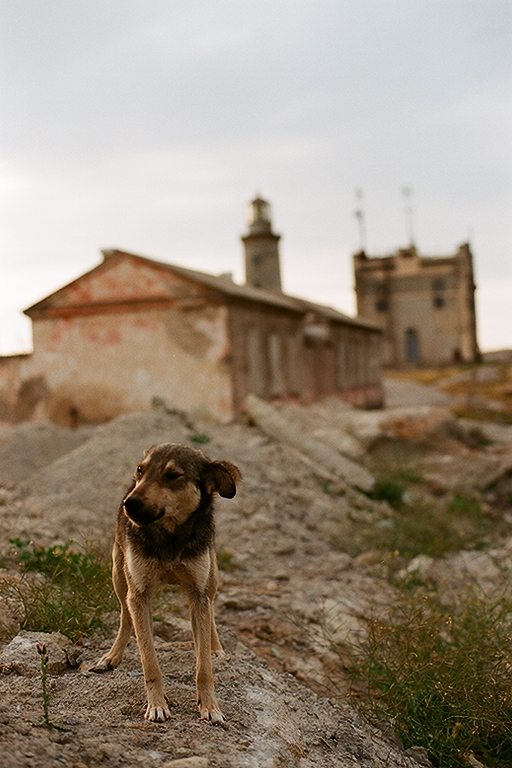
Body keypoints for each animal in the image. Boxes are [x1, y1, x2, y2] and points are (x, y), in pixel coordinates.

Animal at [91, 440, 241, 724]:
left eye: (172, 475)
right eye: (141, 470)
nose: (129, 503)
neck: (170, 535)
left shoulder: (197, 592)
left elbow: (203, 667)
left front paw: (210, 706)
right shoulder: (138, 593)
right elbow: (150, 661)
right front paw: (157, 705)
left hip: (212, 577)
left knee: (211, 614)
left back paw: (216, 648)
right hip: (119, 576)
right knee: (125, 618)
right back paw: (112, 655)